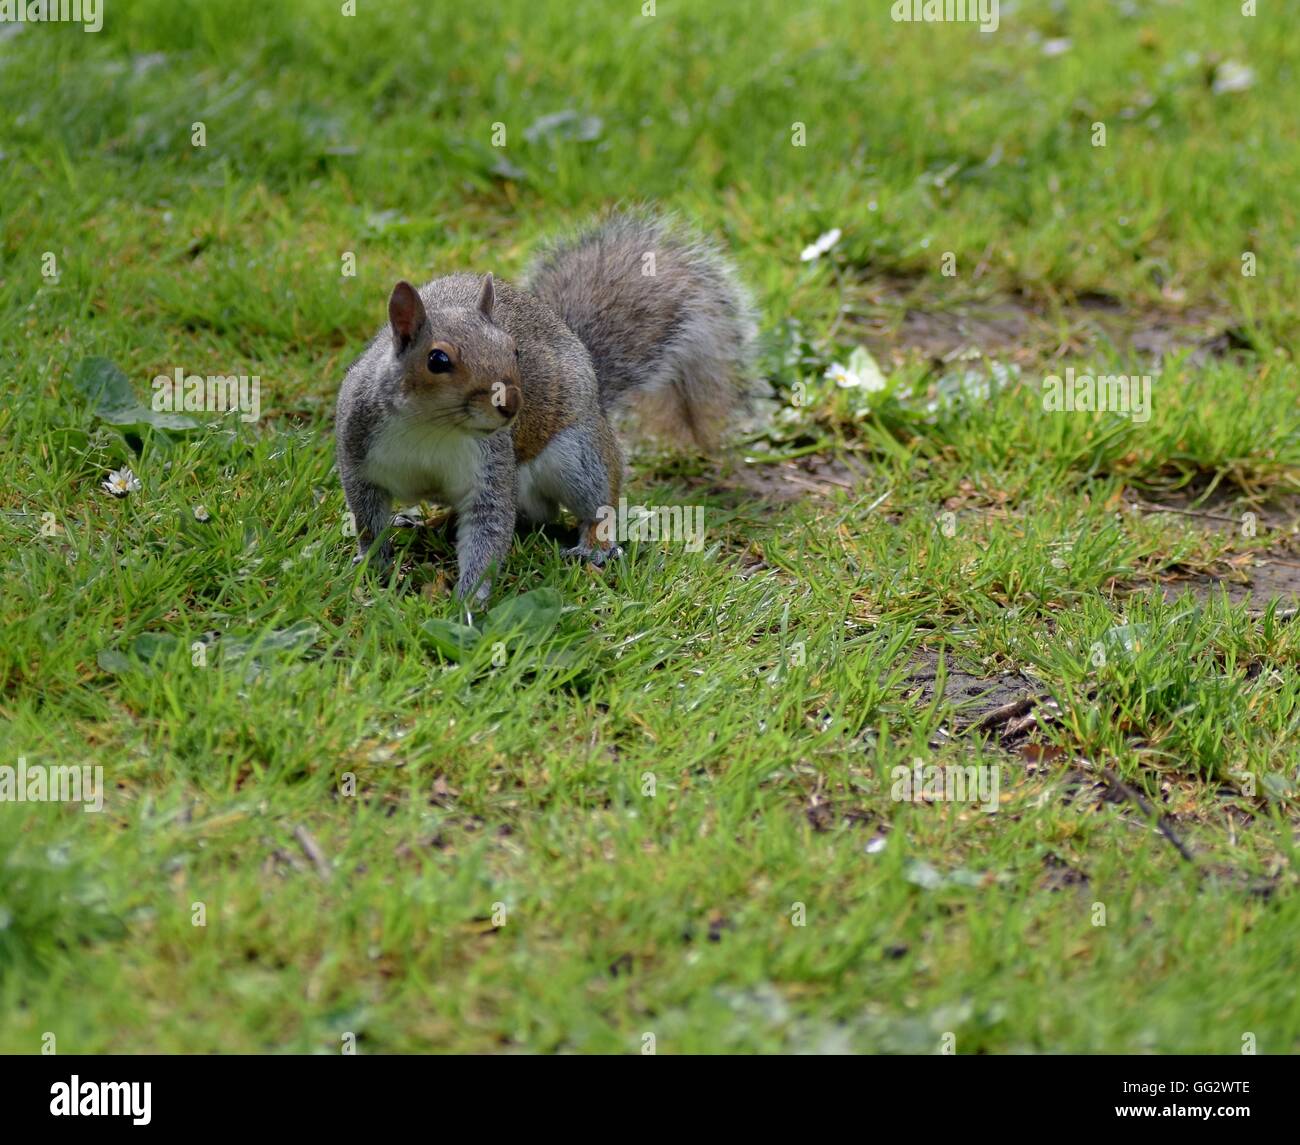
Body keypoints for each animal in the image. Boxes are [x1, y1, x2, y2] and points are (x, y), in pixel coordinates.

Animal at [335, 209, 759, 603]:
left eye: (514, 350)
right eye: (437, 360)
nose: (512, 405)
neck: (432, 426)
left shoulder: (491, 470)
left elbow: (489, 529)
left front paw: (468, 601)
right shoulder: (359, 455)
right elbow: (368, 520)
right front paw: (373, 563)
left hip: (578, 454)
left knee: (596, 501)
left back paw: (595, 546)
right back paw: (430, 523)